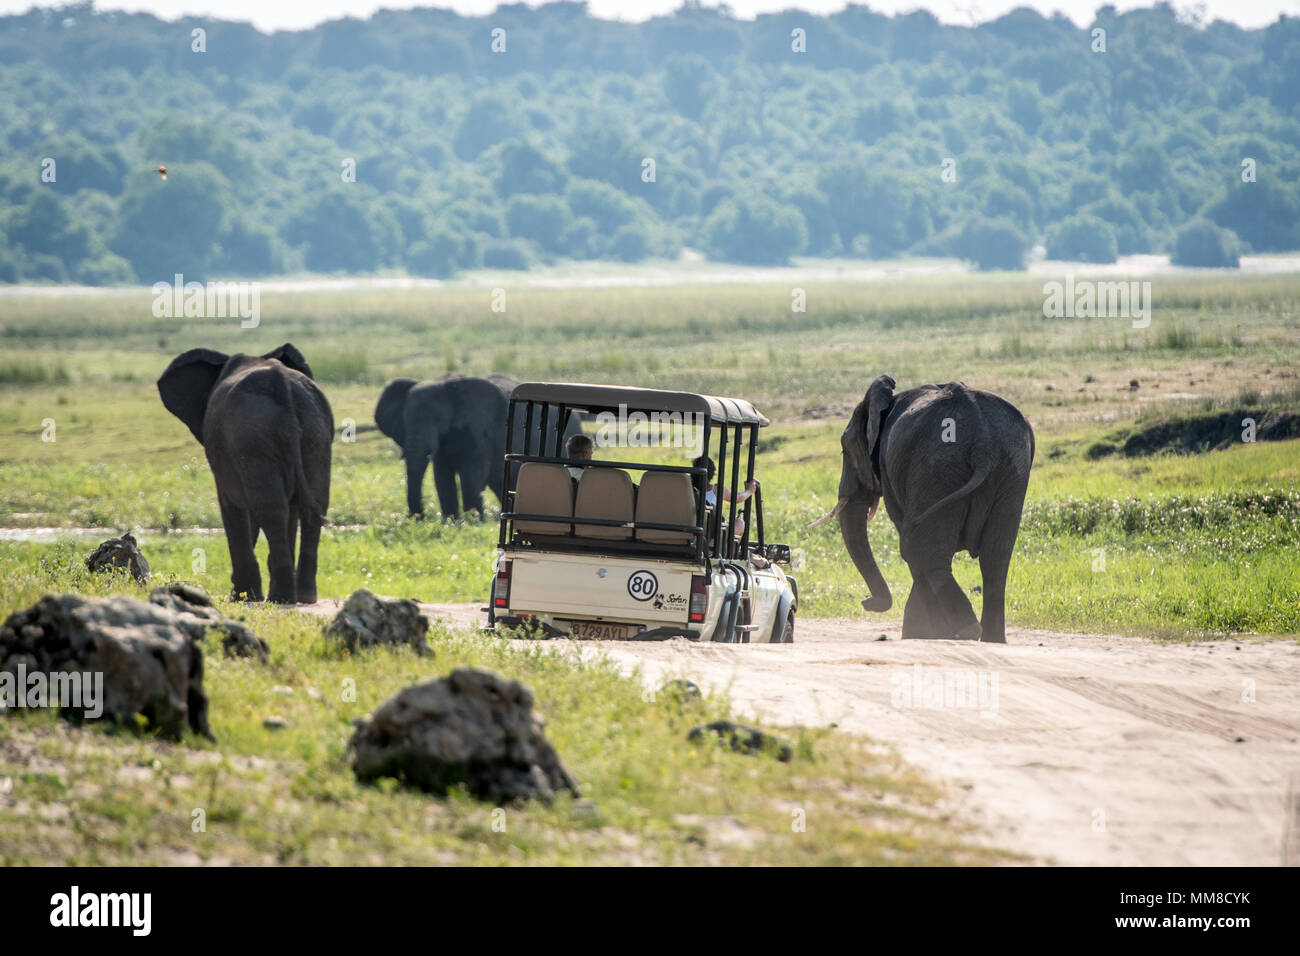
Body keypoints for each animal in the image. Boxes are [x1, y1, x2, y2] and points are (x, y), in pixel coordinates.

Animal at [158, 343, 335, 606]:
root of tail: (282, 385)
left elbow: (232, 506)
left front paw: (240, 596)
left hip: (252, 436)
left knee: (271, 509)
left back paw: (280, 599)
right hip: (316, 432)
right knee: (312, 507)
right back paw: (303, 597)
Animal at [374, 374, 582, 522]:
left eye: (438, 419)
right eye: (405, 421)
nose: (416, 518)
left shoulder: (479, 427)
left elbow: (471, 473)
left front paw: (473, 521)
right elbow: (442, 476)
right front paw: (452, 522)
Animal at [811, 374, 1034, 642]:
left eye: (845, 449)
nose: (866, 602)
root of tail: (984, 445)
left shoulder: (888, 466)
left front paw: (919, 634)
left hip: (937, 469)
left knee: (919, 548)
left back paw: (963, 631)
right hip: (1010, 472)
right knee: (995, 559)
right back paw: (990, 639)